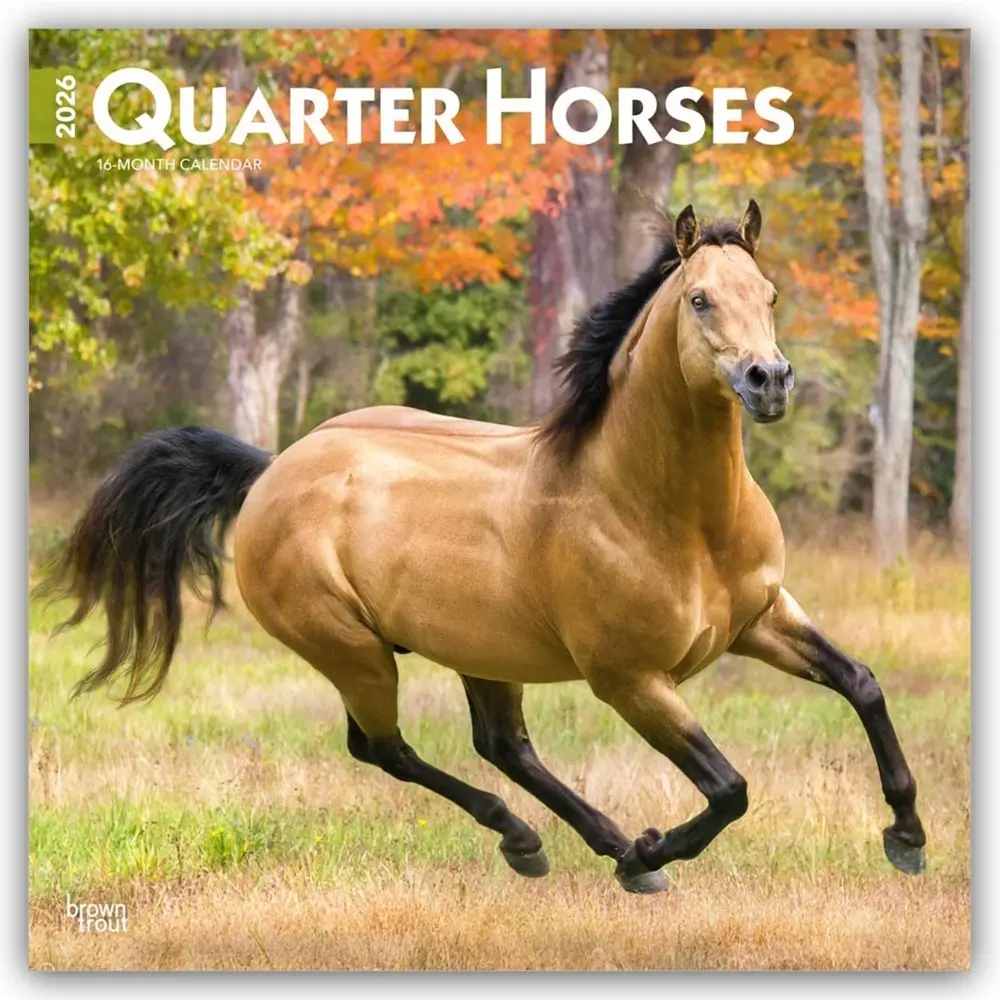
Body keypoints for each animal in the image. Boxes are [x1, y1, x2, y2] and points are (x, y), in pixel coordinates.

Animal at [43, 201, 926, 894]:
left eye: (769, 293)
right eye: (701, 298)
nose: (767, 381)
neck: (669, 514)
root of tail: (272, 471)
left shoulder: (762, 618)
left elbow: (863, 683)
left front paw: (908, 837)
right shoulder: (632, 681)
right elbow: (729, 788)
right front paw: (653, 850)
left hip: (480, 650)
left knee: (500, 745)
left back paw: (589, 844)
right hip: (354, 653)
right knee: (385, 749)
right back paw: (547, 842)